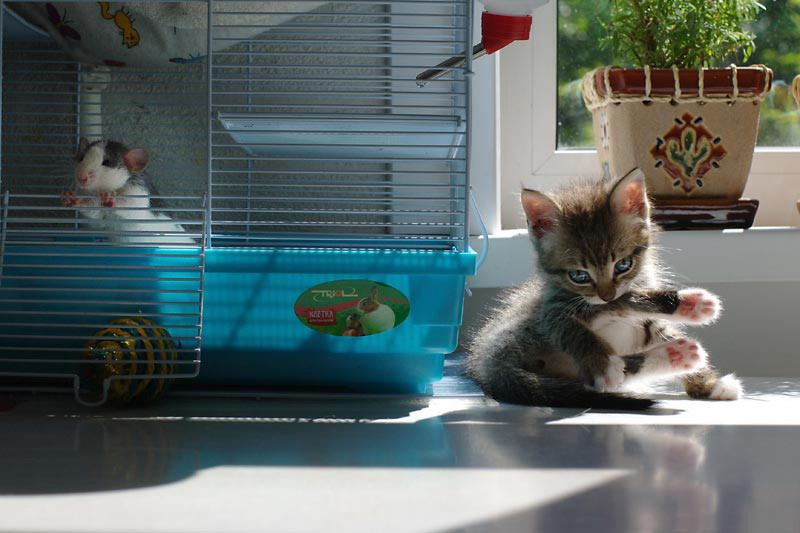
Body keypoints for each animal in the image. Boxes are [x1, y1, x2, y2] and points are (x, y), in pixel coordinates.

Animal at [465, 169, 743, 409]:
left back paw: (676, 352)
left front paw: (709, 384)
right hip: (524, 327)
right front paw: (602, 362)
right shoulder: (552, 307)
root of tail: (486, 364)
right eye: (579, 275)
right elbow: (580, 322)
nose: (605, 294)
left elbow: (648, 317)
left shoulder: (643, 316)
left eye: (623, 265)